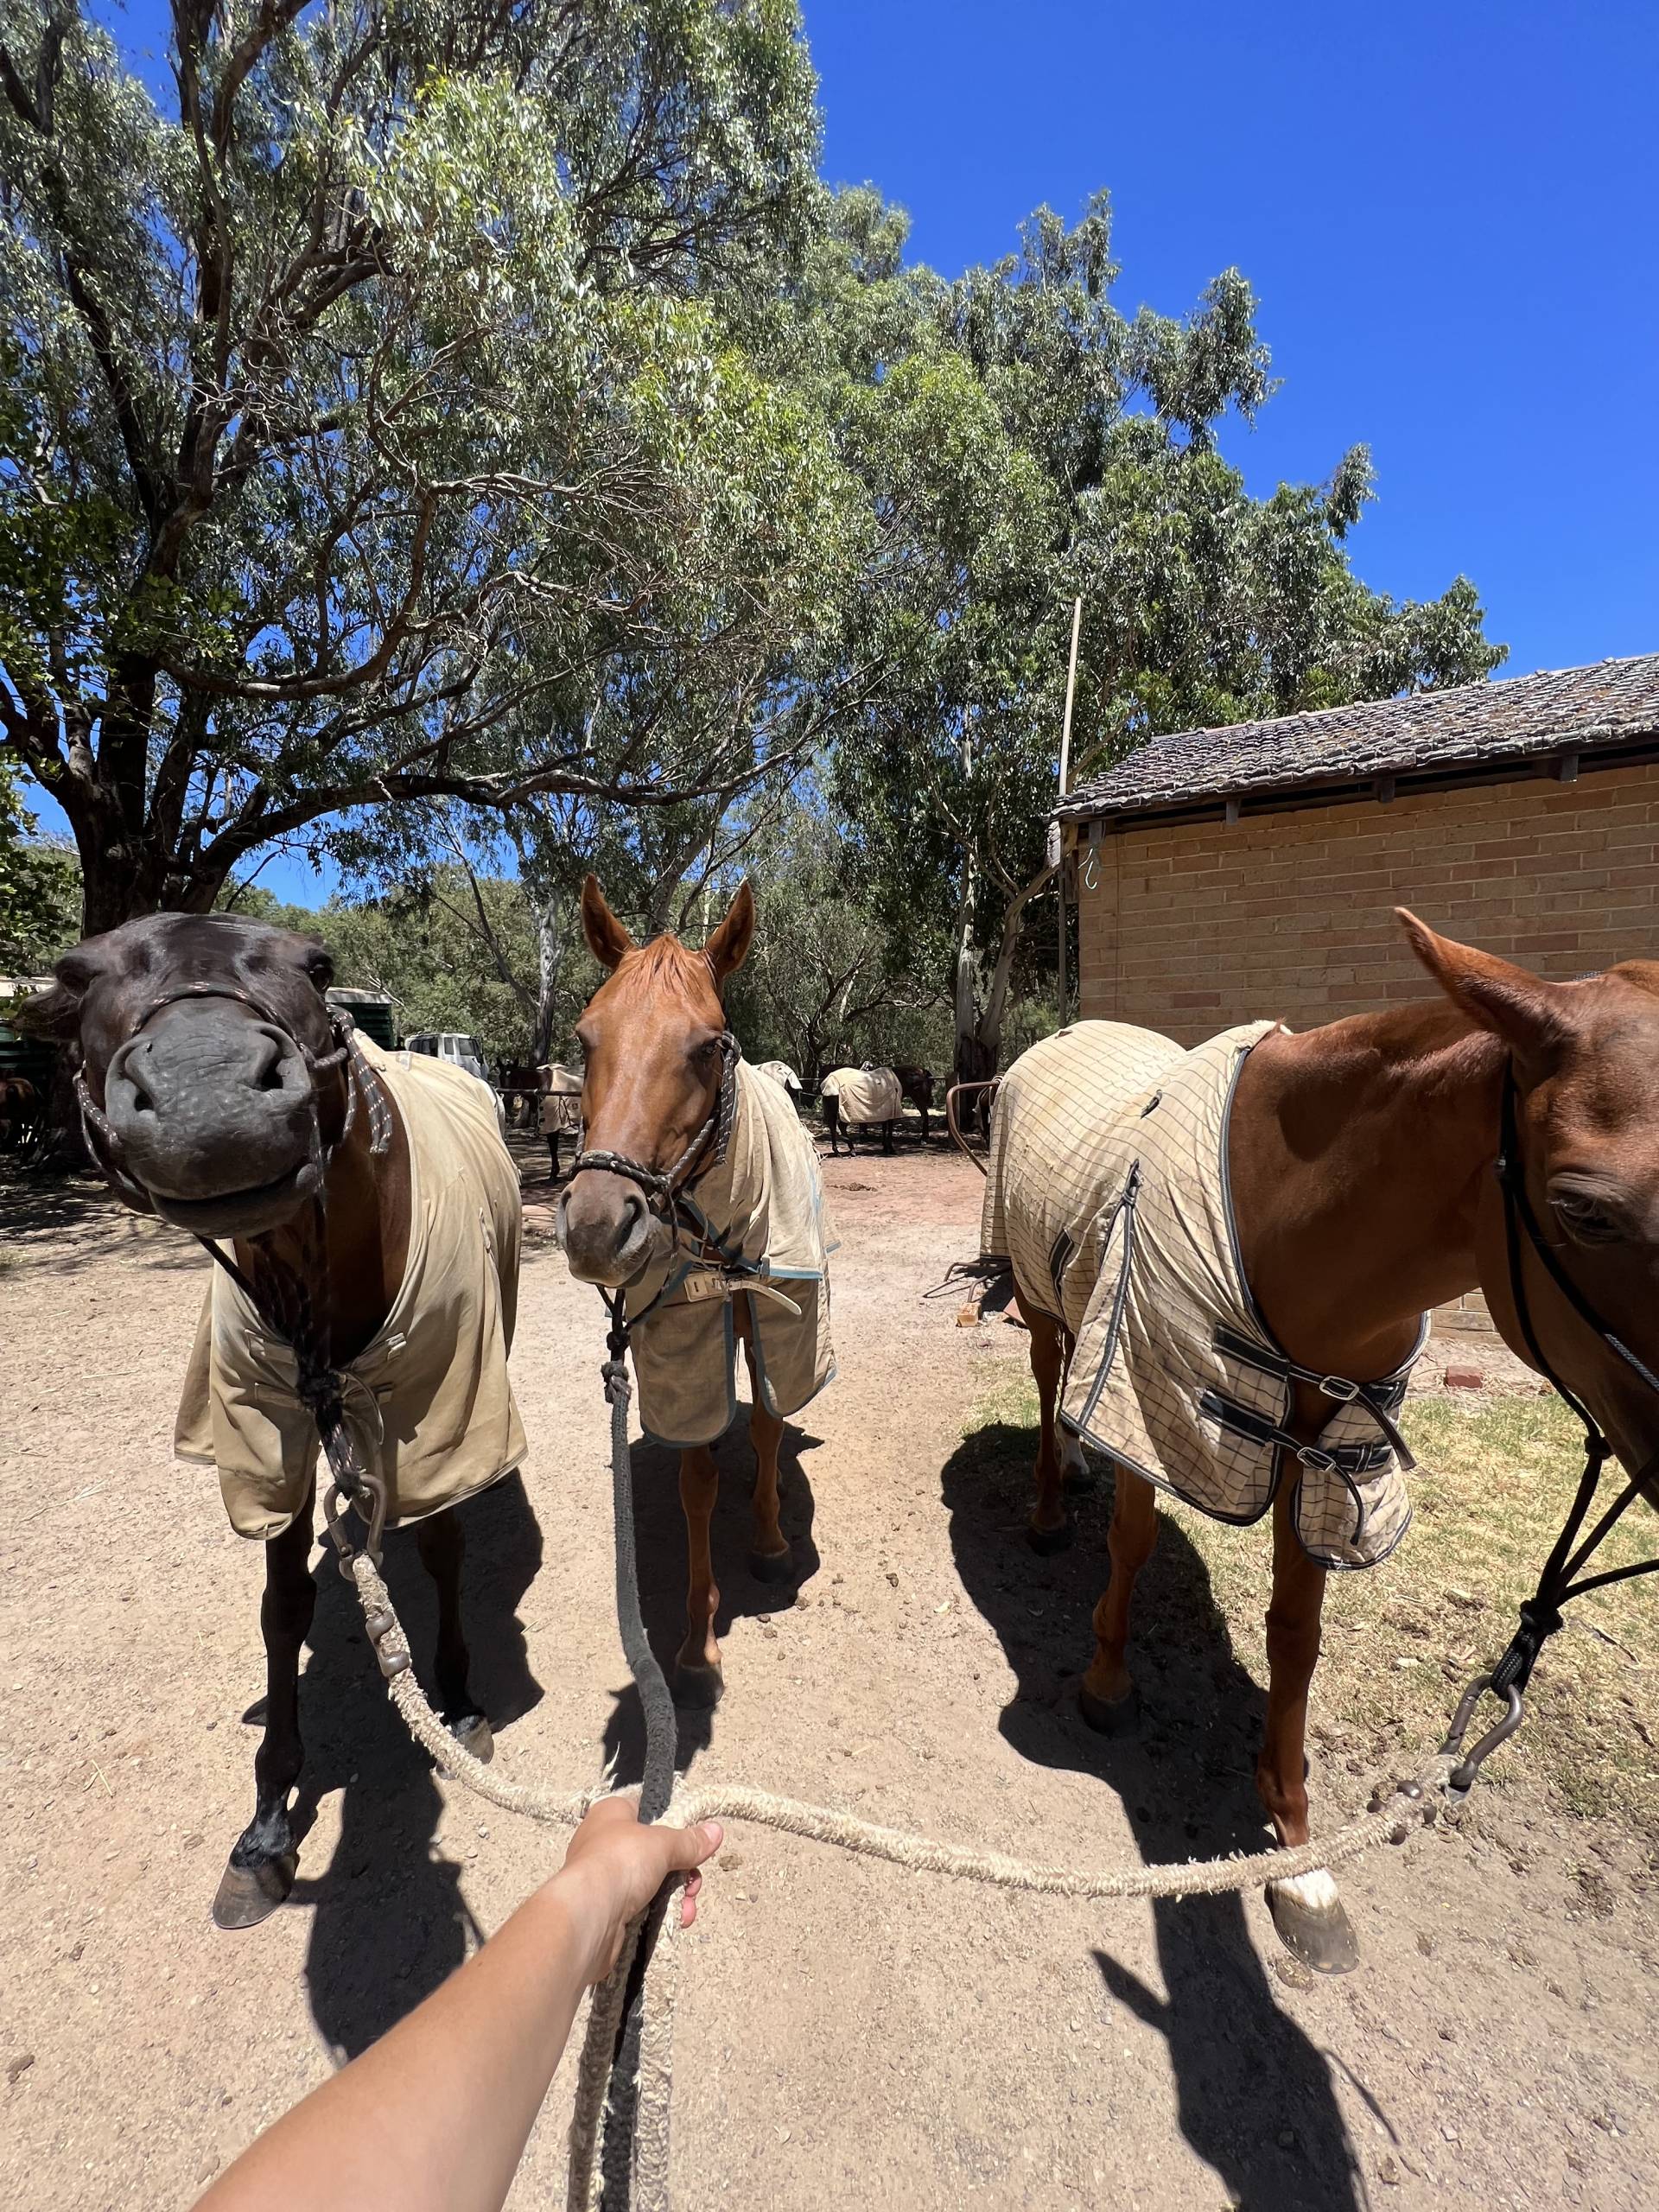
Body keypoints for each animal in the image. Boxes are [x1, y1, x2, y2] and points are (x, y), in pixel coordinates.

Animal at [22, 914, 525, 1928]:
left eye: (317, 967)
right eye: (76, 975)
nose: (207, 1094)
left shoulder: (447, 1401)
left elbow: (444, 1548)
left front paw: (456, 1702)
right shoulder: (269, 1436)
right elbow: (282, 1607)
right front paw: (265, 1825)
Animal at [558, 877, 835, 1704]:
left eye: (709, 1045)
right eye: (584, 1039)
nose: (596, 1227)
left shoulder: (779, 1317)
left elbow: (771, 1421)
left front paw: (771, 1542)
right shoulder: (684, 1335)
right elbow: (697, 1478)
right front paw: (695, 1644)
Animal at [984, 911, 1659, 1975]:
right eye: (1585, 1208)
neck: (1288, 1220)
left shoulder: (1332, 1458)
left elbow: (1296, 1636)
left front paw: (1299, 1860)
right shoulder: (1152, 1385)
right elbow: (1132, 1544)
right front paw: (1106, 1682)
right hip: (1047, 1300)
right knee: (1054, 1387)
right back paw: (1055, 1503)